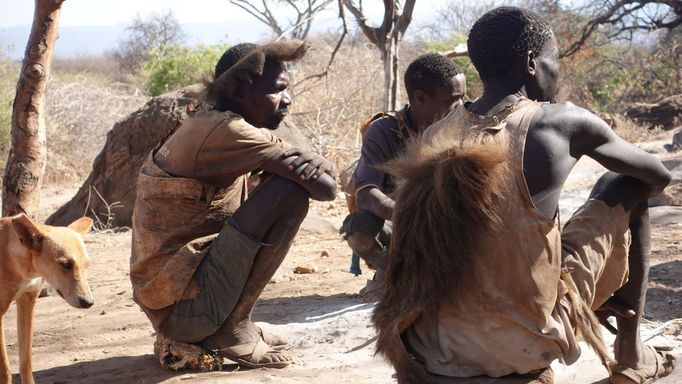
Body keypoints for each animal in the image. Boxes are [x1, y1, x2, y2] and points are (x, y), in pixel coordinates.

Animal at [0, 214, 93, 382]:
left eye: (86, 265)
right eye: (66, 264)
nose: (89, 302)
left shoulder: (28, 303)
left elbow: (26, 363)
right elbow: (5, 370)